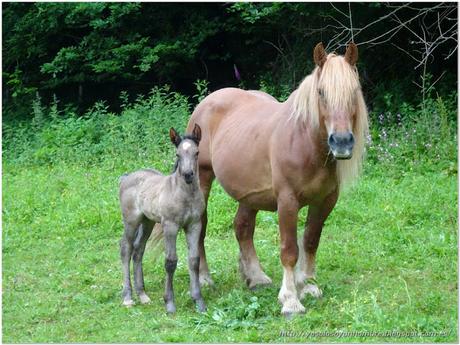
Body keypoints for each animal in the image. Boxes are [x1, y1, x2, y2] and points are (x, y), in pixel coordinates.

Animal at [117, 123, 206, 312]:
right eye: (178, 154)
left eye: (196, 152)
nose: (188, 175)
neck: (184, 195)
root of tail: (125, 178)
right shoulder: (170, 226)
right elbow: (170, 262)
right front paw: (169, 303)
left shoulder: (194, 225)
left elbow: (194, 260)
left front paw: (199, 301)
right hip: (131, 221)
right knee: (126, 248)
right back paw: (128, 297)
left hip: (147, 222)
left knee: (138, 250)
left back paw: (143, 295)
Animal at [187, 41, 370, 314]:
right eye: (321, 92)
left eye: (354, 91)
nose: (342, 142)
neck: (305, 143)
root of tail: (207, 101)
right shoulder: (287, 201)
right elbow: (289, 249)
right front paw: (291, 299)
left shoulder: (325, 201)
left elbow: (310, 241)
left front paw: (308, 285)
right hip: (203, 179)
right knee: (201, 227)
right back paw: (205, 279)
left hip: (249, 194)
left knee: (243, 228)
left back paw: (256, 277)